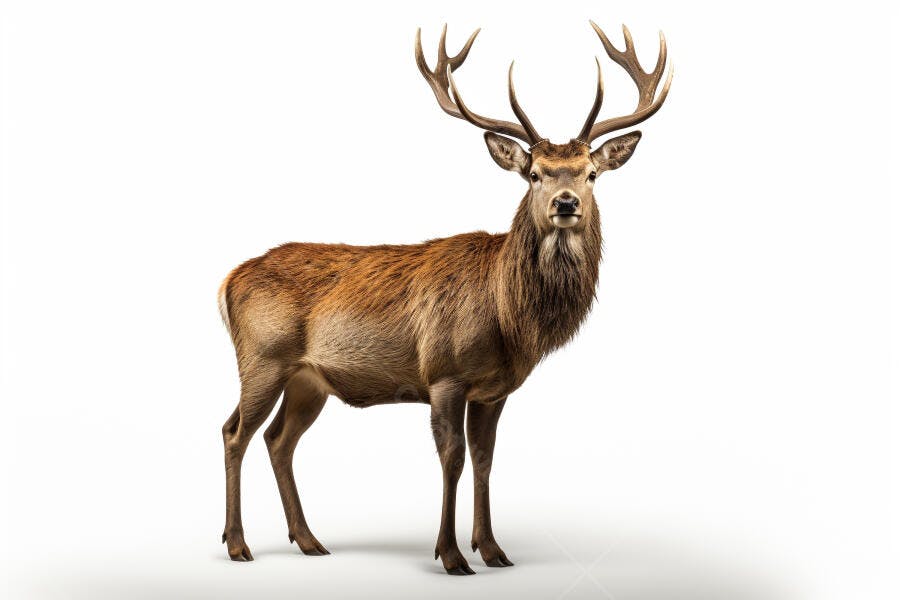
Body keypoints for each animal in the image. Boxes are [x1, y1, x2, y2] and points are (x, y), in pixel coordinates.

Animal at [218, 21, 672, 575]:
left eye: (590, 172)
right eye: (535, 173)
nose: (566, 204)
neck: (507, 316)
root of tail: (228, 280)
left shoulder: (494, 389)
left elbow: (485, 458)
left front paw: (493, 549)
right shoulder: (443, 373)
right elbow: (452, 457)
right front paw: (452, 554)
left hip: (308, 379)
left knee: (278, 439)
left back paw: (307, 539)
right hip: (262, 359)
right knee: (235, 432)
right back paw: (238, 544)